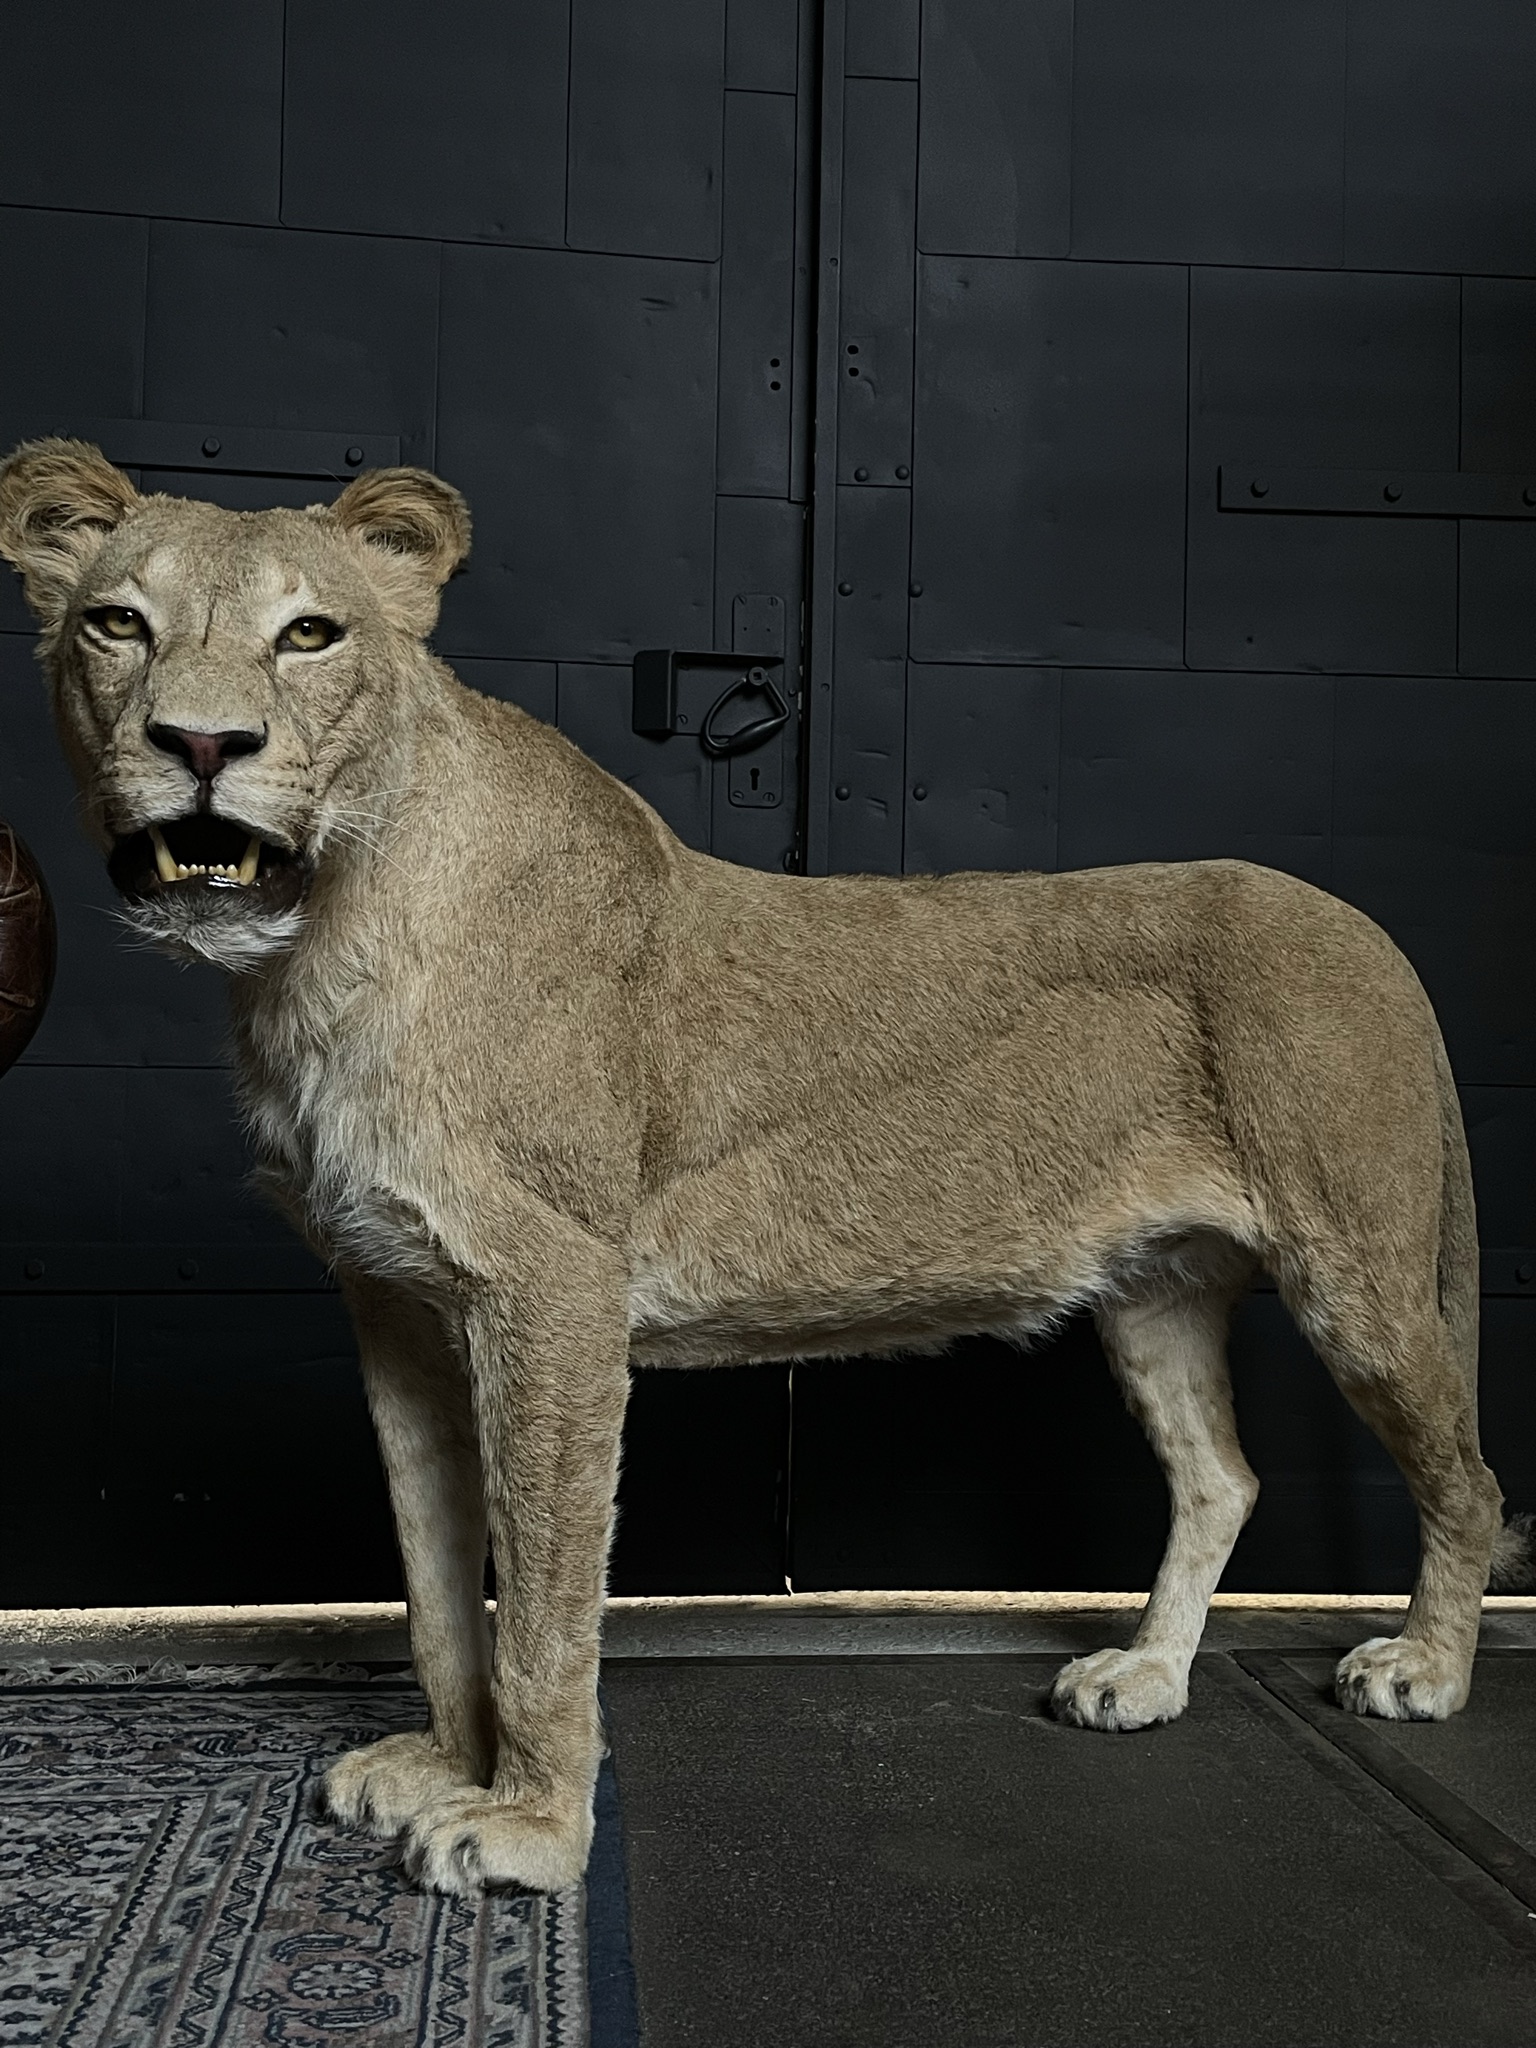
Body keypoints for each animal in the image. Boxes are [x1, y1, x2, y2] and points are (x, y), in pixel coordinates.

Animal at [0, 438, 1516, 1895]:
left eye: (309, 634)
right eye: (119, 623)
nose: (202, 741)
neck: (313, 946)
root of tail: (1373, 930)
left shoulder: (553, 1292)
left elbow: (543, 1600)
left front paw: (529, 1830)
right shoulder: (395, 1304)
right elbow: (435, 1577)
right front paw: (441, 1765)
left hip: (1361, 1274)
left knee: (1471, 1480)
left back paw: (1425, 1670)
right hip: (1155, 1288)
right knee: (1223, 1477)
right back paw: (1146, 1674)